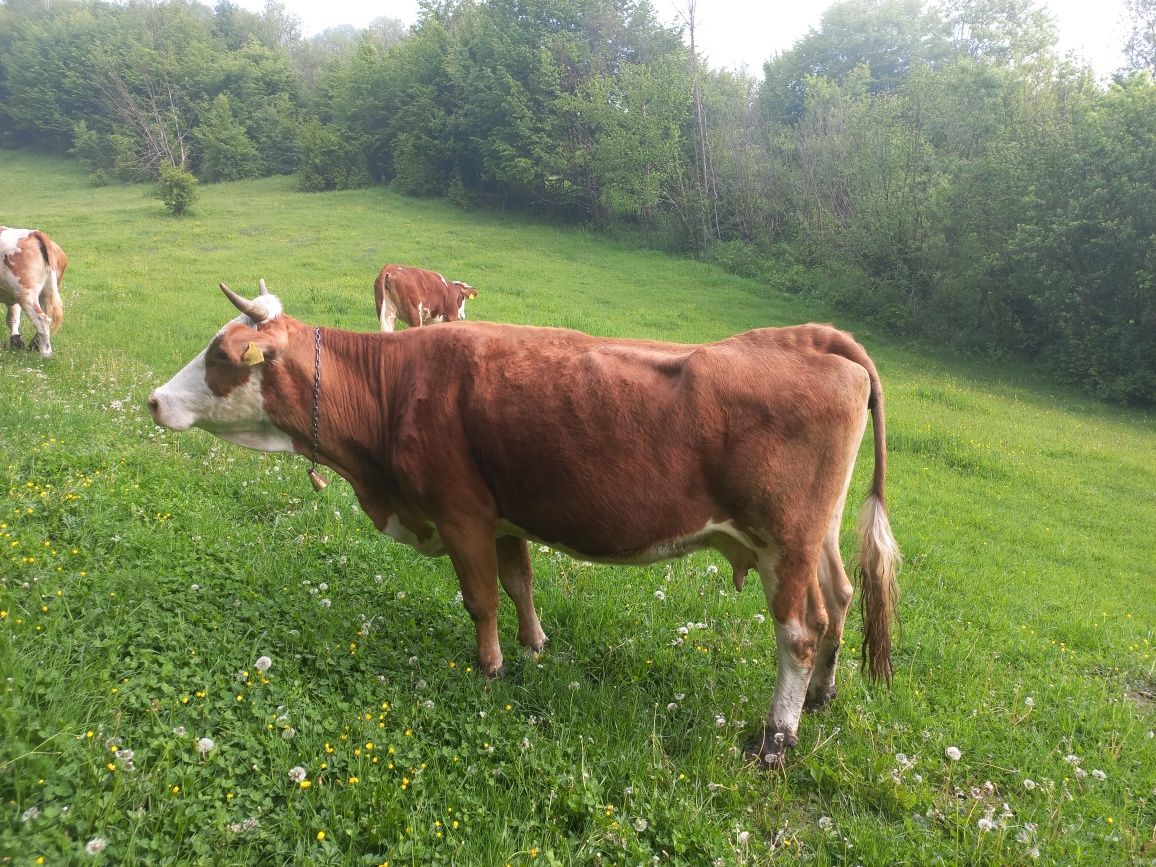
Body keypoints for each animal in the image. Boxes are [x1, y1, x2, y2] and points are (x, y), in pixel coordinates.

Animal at [0, 227, 67, 360]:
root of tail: (33, 233)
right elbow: (13, 317)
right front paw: (16, 342)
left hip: (27, 295)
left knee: (42, 320)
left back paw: (45, 354)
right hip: (44, 293)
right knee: (48, 316)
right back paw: (34, 345)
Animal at [146, 282, 901, 772]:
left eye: (220, 356)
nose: (154, 399)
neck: (393, 390)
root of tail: (813, 340)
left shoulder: (460, 513)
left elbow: (480, 597)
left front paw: (491, 667)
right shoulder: (502, 512)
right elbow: (519, 582)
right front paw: (535, 645)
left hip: (785, 541)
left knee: (800, 631)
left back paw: (777, 738)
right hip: (818, 535)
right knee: (840, 600)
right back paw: (824, 696)